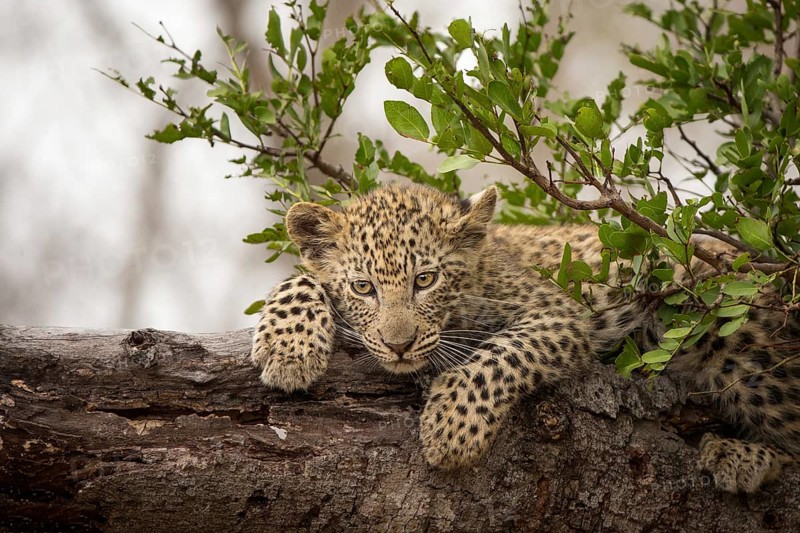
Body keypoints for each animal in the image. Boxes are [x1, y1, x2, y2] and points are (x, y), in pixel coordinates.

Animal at [251, 182, 800, 493]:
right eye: (363, 287)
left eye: (425, 280)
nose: (398, 345)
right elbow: (299, 279)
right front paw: (288, 348)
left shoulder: (561, 315)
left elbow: (497, 357)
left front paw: (451, 428)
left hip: (738, 346)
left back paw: (738, 457)